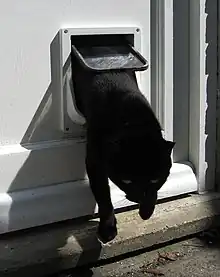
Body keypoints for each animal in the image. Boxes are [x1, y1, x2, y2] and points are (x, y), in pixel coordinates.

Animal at [71, 61, 174, 243]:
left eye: (155, 179)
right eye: (126, 180)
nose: (139, 195)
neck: (132, 124)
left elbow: (153, 193)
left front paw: (146, 211)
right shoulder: (94, 162)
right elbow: (103, 196)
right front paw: (107, 229)